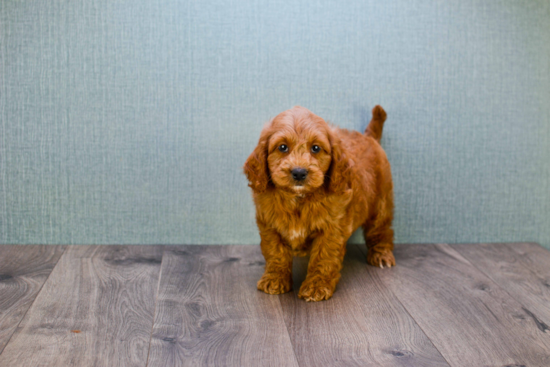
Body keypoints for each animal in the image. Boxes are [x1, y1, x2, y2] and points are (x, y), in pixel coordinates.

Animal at [244, 105, 394, 302]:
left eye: (315, 148)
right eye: (282, 147)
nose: (299, 172)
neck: (299, 198)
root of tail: (369, 137)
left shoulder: (332, 229)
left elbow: (324, 258)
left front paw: (316, 286)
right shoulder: (269, 225)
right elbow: (275, 253)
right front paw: (274, 279)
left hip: (381, 200)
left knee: (381, 229)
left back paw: (381, 255)